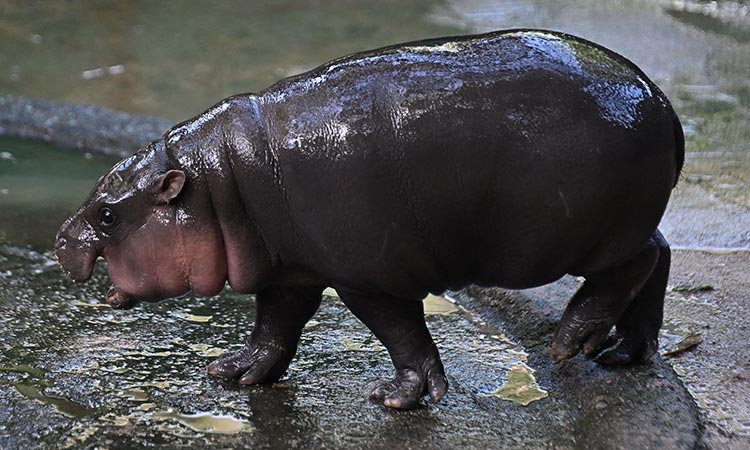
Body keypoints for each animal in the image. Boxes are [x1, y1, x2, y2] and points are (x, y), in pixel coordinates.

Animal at [55, 29, 684, 410]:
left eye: (107, 214)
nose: (61, 239)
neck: (219, 183)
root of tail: (661, 99)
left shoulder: (367, 275)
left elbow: (400, 332)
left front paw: (399, 398)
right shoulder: (292, 268)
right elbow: (274, 324)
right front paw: (233, 373)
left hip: (584, 237)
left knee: (634, 266)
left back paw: (571, 342)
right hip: (623, 223)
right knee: (661, 253)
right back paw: (623, 353)